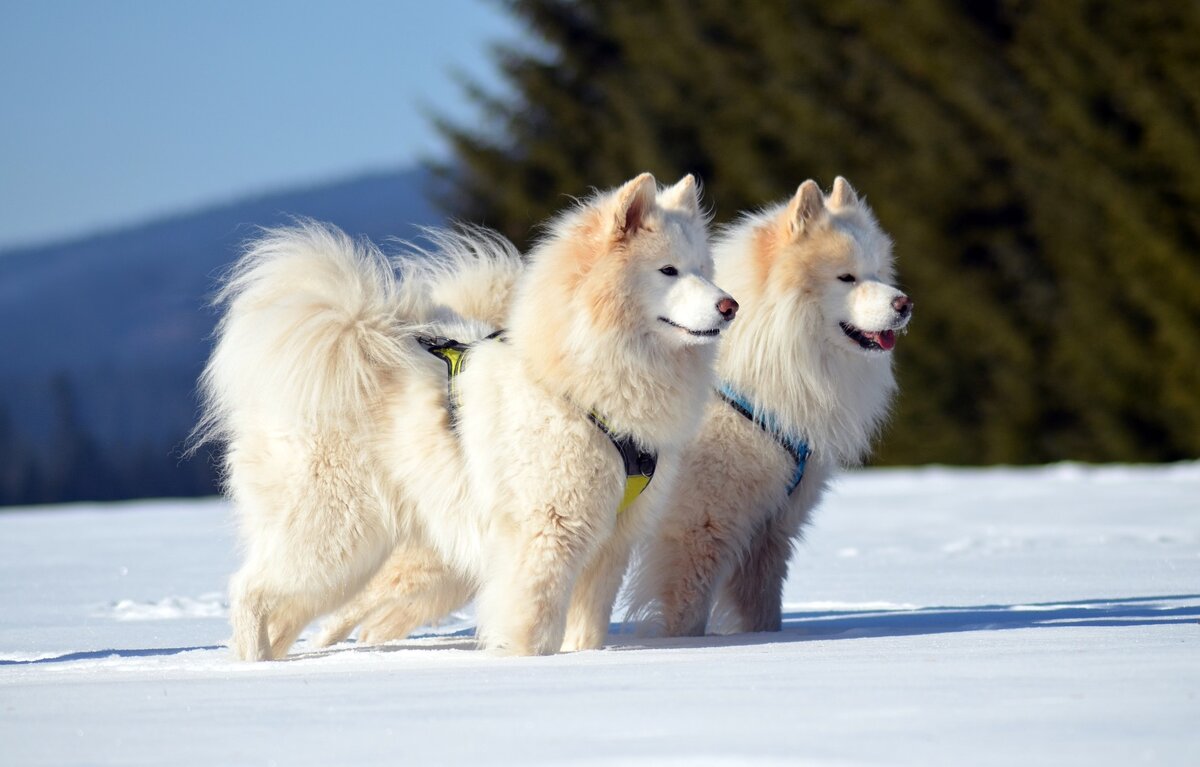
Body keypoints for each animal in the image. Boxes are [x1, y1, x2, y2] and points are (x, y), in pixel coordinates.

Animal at [192, 174, 734, 662]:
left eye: (704, 269)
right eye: (668, 270)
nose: (730, 305)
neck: (574, 384)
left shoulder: (610, 546)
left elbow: (587, 631)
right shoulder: (547, 534)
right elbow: (533, 623)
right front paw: (527, 663)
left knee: (290, 610)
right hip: (333, 534)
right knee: (250, 589)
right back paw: (252, 665)